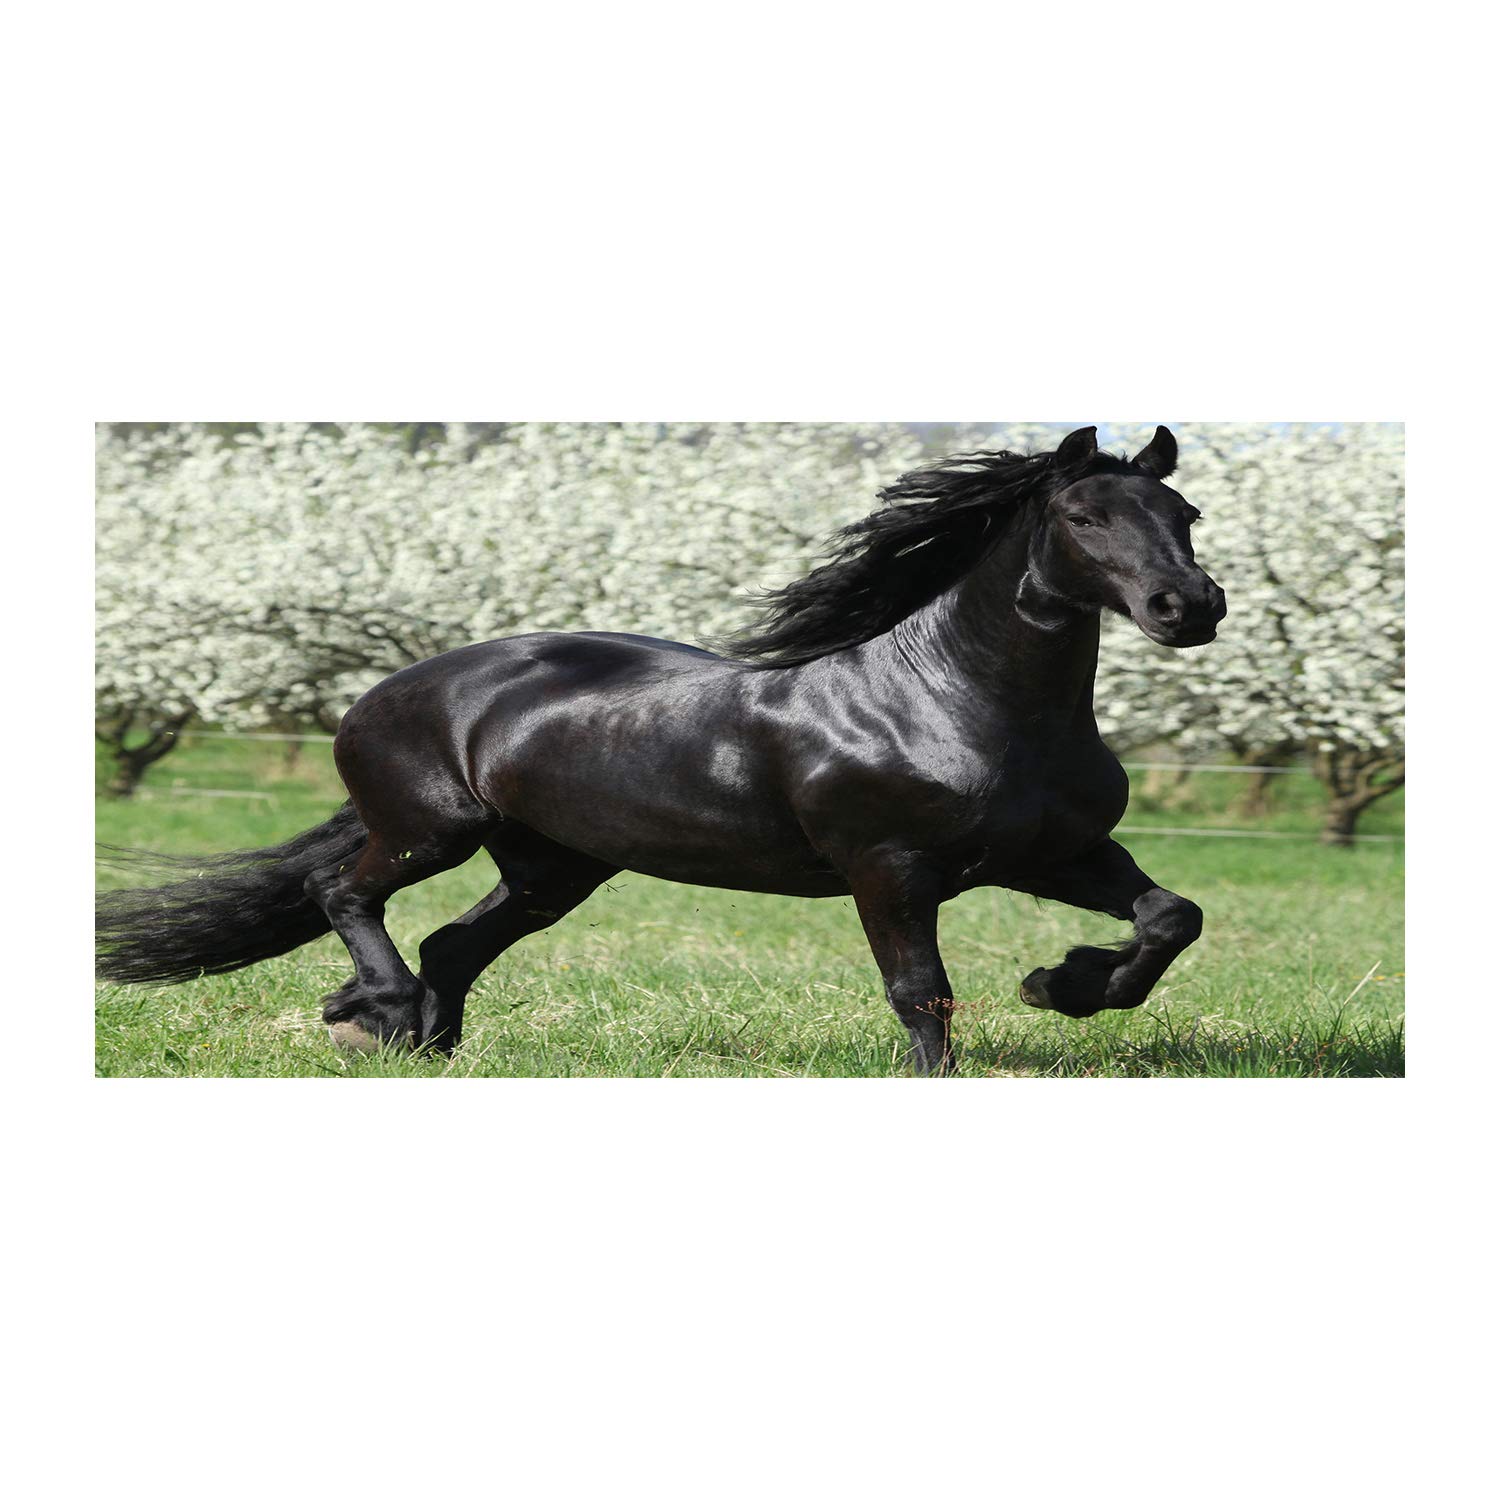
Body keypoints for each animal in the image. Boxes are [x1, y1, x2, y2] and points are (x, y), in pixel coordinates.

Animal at [96, 424, 1226, 1074]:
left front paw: (1064, 984)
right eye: (1084, 514)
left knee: (449, 945)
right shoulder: (889, 870)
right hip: (430, 830)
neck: (949, 703)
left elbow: (1173, 917)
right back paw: (371, 1013)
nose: (1190, 607)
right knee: (344, 892)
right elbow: (922, 995)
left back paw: (421, 1042)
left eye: (1185, 511)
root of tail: (387, 691)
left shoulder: (1055, 854)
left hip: (553, 864)